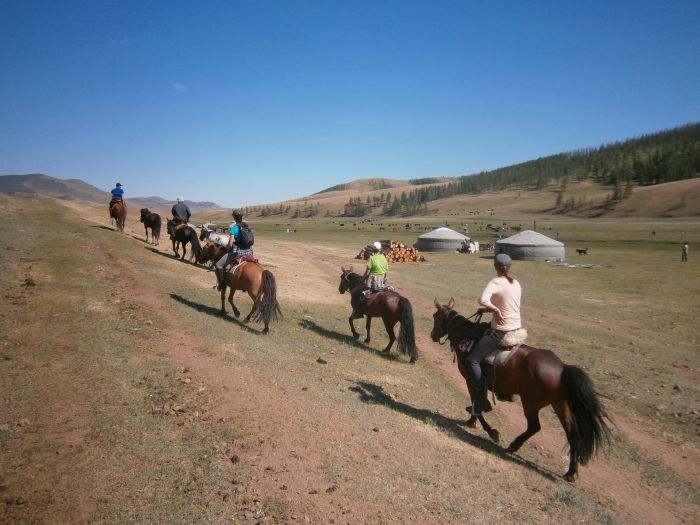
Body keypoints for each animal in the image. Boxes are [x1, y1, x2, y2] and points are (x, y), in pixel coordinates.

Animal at [430, 296, 608, 482]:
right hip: (560, 405)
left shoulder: (471, 380)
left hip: (530, 402)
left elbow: (476, 403)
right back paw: (570, 472)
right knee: (572, 435)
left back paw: (513, 446)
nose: (433, 335)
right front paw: (472, 422)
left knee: (534, 427)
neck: (465, 335)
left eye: (435, 316)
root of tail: (562, 368)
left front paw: (489, 430)